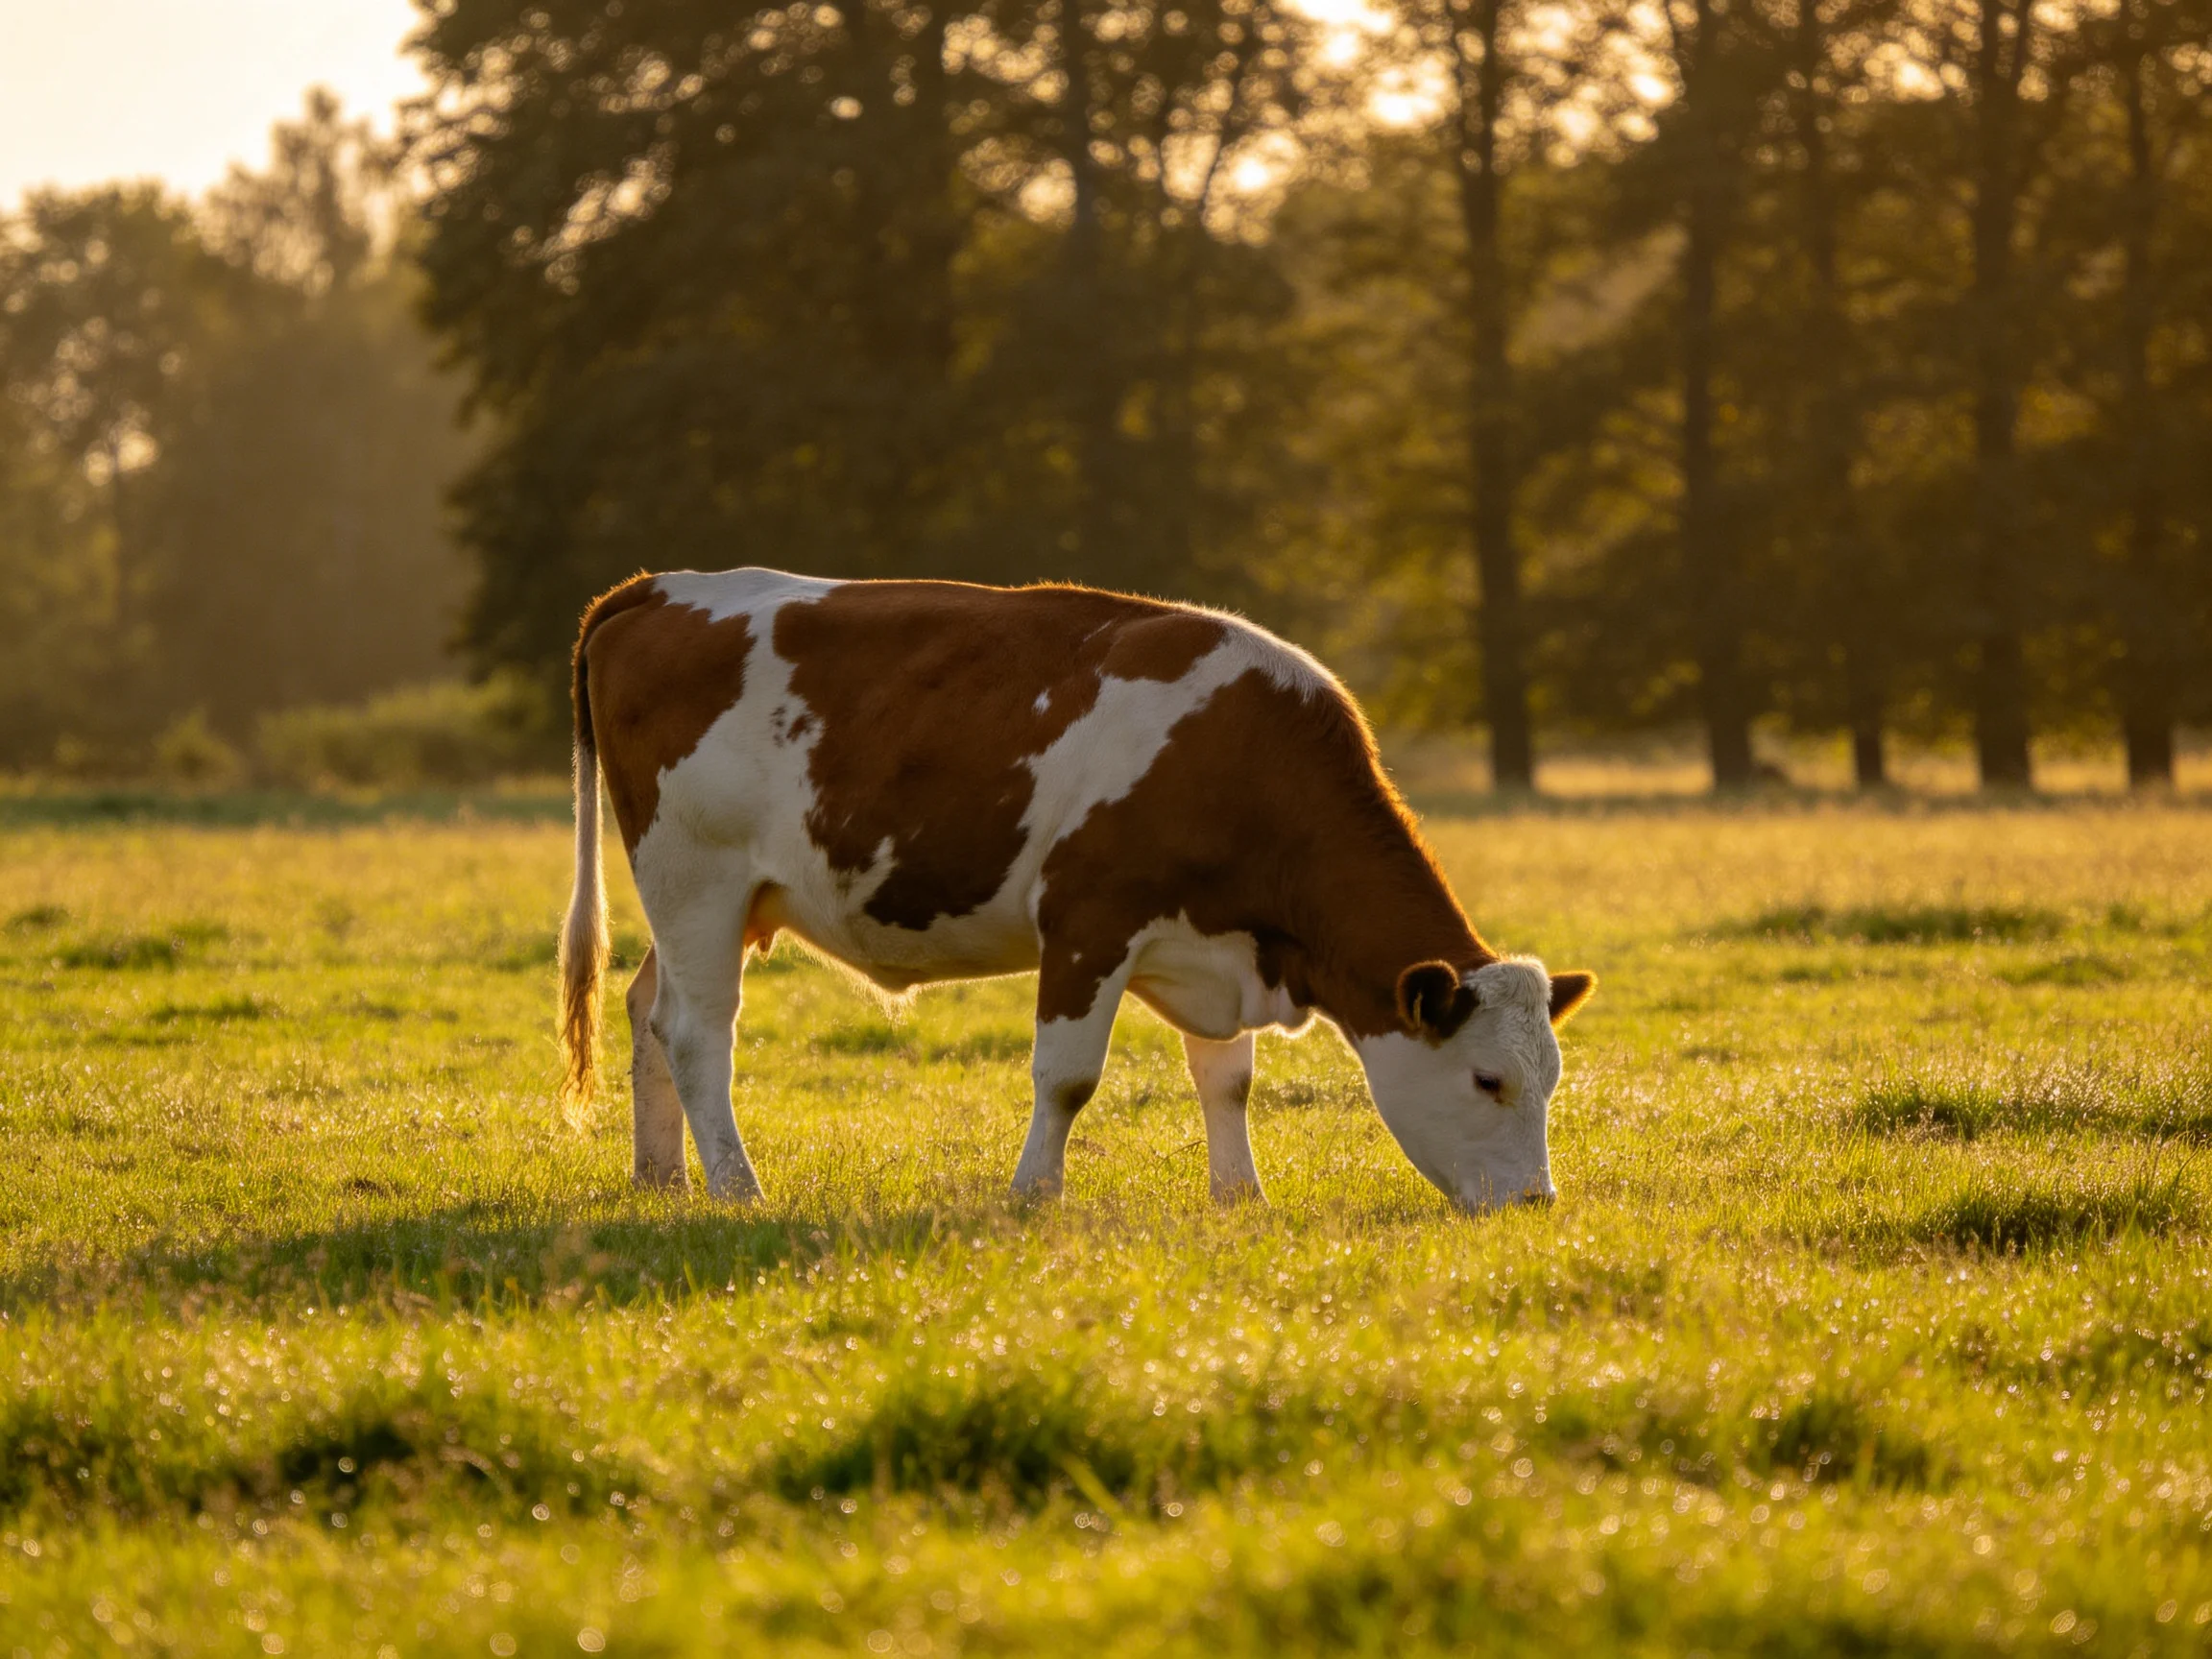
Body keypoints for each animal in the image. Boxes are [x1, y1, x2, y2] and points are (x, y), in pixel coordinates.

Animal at [557, 569, 1595, 1213]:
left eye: (1551, 1077)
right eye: (1488, 1079)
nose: (1536, 1204)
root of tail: (659, 588)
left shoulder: (1211, 941)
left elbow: (1228, 1078)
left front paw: (1239, 1196)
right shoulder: (1090, 919)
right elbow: (1067, 1077)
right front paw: (1033, 1195)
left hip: (716, 900)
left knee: (649, 1008)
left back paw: (662, 1178)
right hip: (695, 875)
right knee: (699, 1032)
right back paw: (738, 1187)